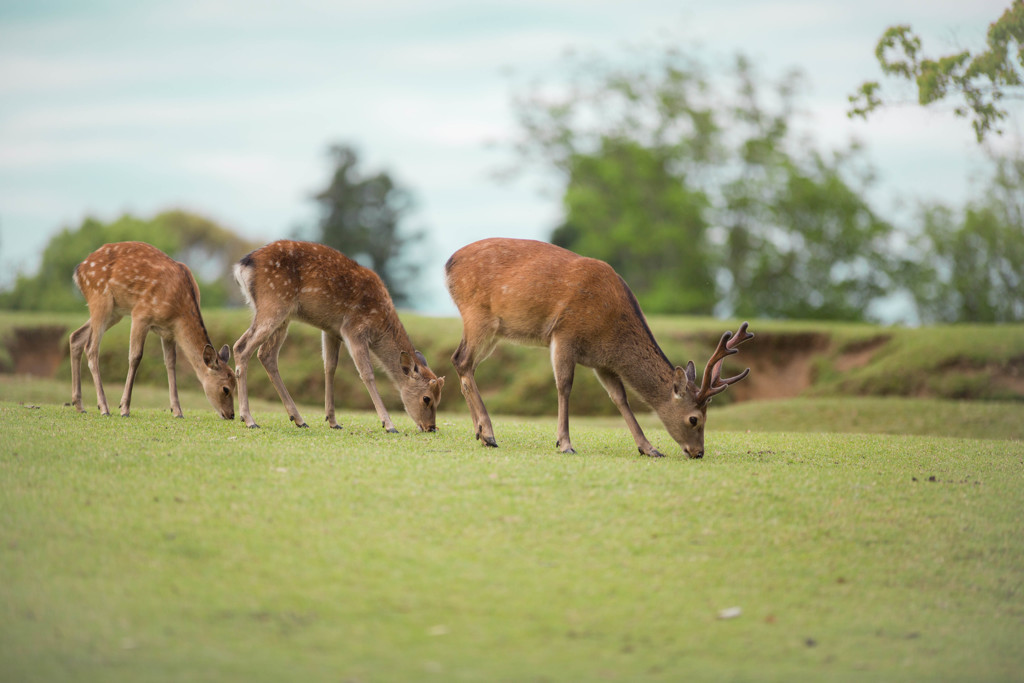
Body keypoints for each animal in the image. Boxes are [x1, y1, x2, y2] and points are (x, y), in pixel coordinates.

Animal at [69, 240, 236, 421]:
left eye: (236, 384)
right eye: (225, 388)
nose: (231, 414)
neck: (179, 310)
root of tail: (79, 269)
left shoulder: (169, 332)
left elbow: (170, 362)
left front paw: (177, 411)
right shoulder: (140, 314)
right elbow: (135, 357)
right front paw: (124, 408)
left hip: (115, 312)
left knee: (76, 336)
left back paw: (79, 406)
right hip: (100, 297)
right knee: (91, 348)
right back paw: (104, 407)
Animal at [232, 241, 444, 432]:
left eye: (439, 399)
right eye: (426, 398)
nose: (431, 427)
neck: (381, 323)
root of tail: (242, 265)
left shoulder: (331, 330)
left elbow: (330, 367)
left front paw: (333, 421)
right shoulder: (354, 328)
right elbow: (367, 373)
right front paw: (389, 424)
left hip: (282, 317)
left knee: (266, 354)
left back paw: (298, 419)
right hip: (273, 303)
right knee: (241, 347)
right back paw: (248, 419)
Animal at [446, 237, 753, 456]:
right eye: (694, 419)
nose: (698, 452)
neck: (610, 333)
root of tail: (448, 265)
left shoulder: (602, 363)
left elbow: (620, 398)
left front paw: (649, 448)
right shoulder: (565, 333)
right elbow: (564, 386)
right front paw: (565, 443)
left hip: (492, 331)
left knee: (462, 363)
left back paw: (480, 432)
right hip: (478, 316)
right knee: (461, 360)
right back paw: (488, 433)